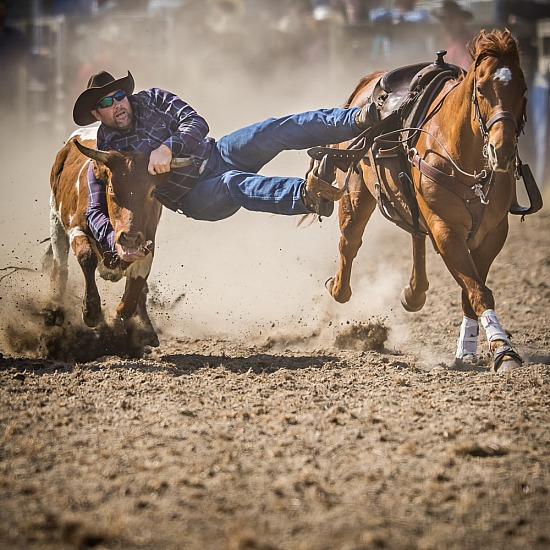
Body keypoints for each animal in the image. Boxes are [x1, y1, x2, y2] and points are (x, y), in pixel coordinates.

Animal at [328, 30, 536, 376]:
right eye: (481, 88)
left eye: (523, 89)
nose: (502, 150)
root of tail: (368, 84)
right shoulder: (446, 228)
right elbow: (479, 291)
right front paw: (504, 350)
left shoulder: (493, 233)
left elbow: (471, 292)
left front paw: (469, 349)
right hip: (356, 196)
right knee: (350, 242)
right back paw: (338, 289)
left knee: (415, 234)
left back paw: (414, 292)